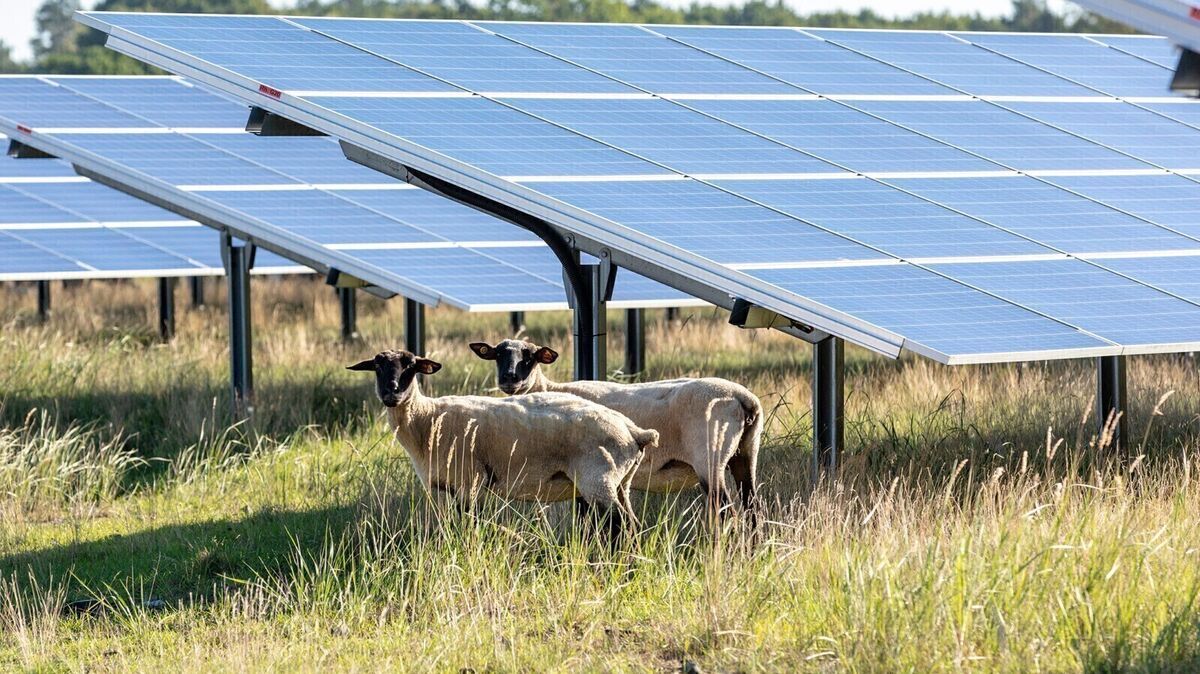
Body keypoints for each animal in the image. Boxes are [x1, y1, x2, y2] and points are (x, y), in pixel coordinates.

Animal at [347, 349, 659, 536]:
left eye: (411, 366)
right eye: (377, 366)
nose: (392, 393)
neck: (427, 419)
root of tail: (634, 431)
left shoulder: (470, 481)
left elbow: (470, 524)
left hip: (598, 480)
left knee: (624, 525)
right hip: (620, 483)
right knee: (632, 525)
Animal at [468, 339, 763, 521]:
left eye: (529, 357)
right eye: (497, 354)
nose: (509, 378)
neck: (549, 389)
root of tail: (744, 398)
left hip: (710, 459)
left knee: (727, 511)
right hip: (745, 454)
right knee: (753, 509)